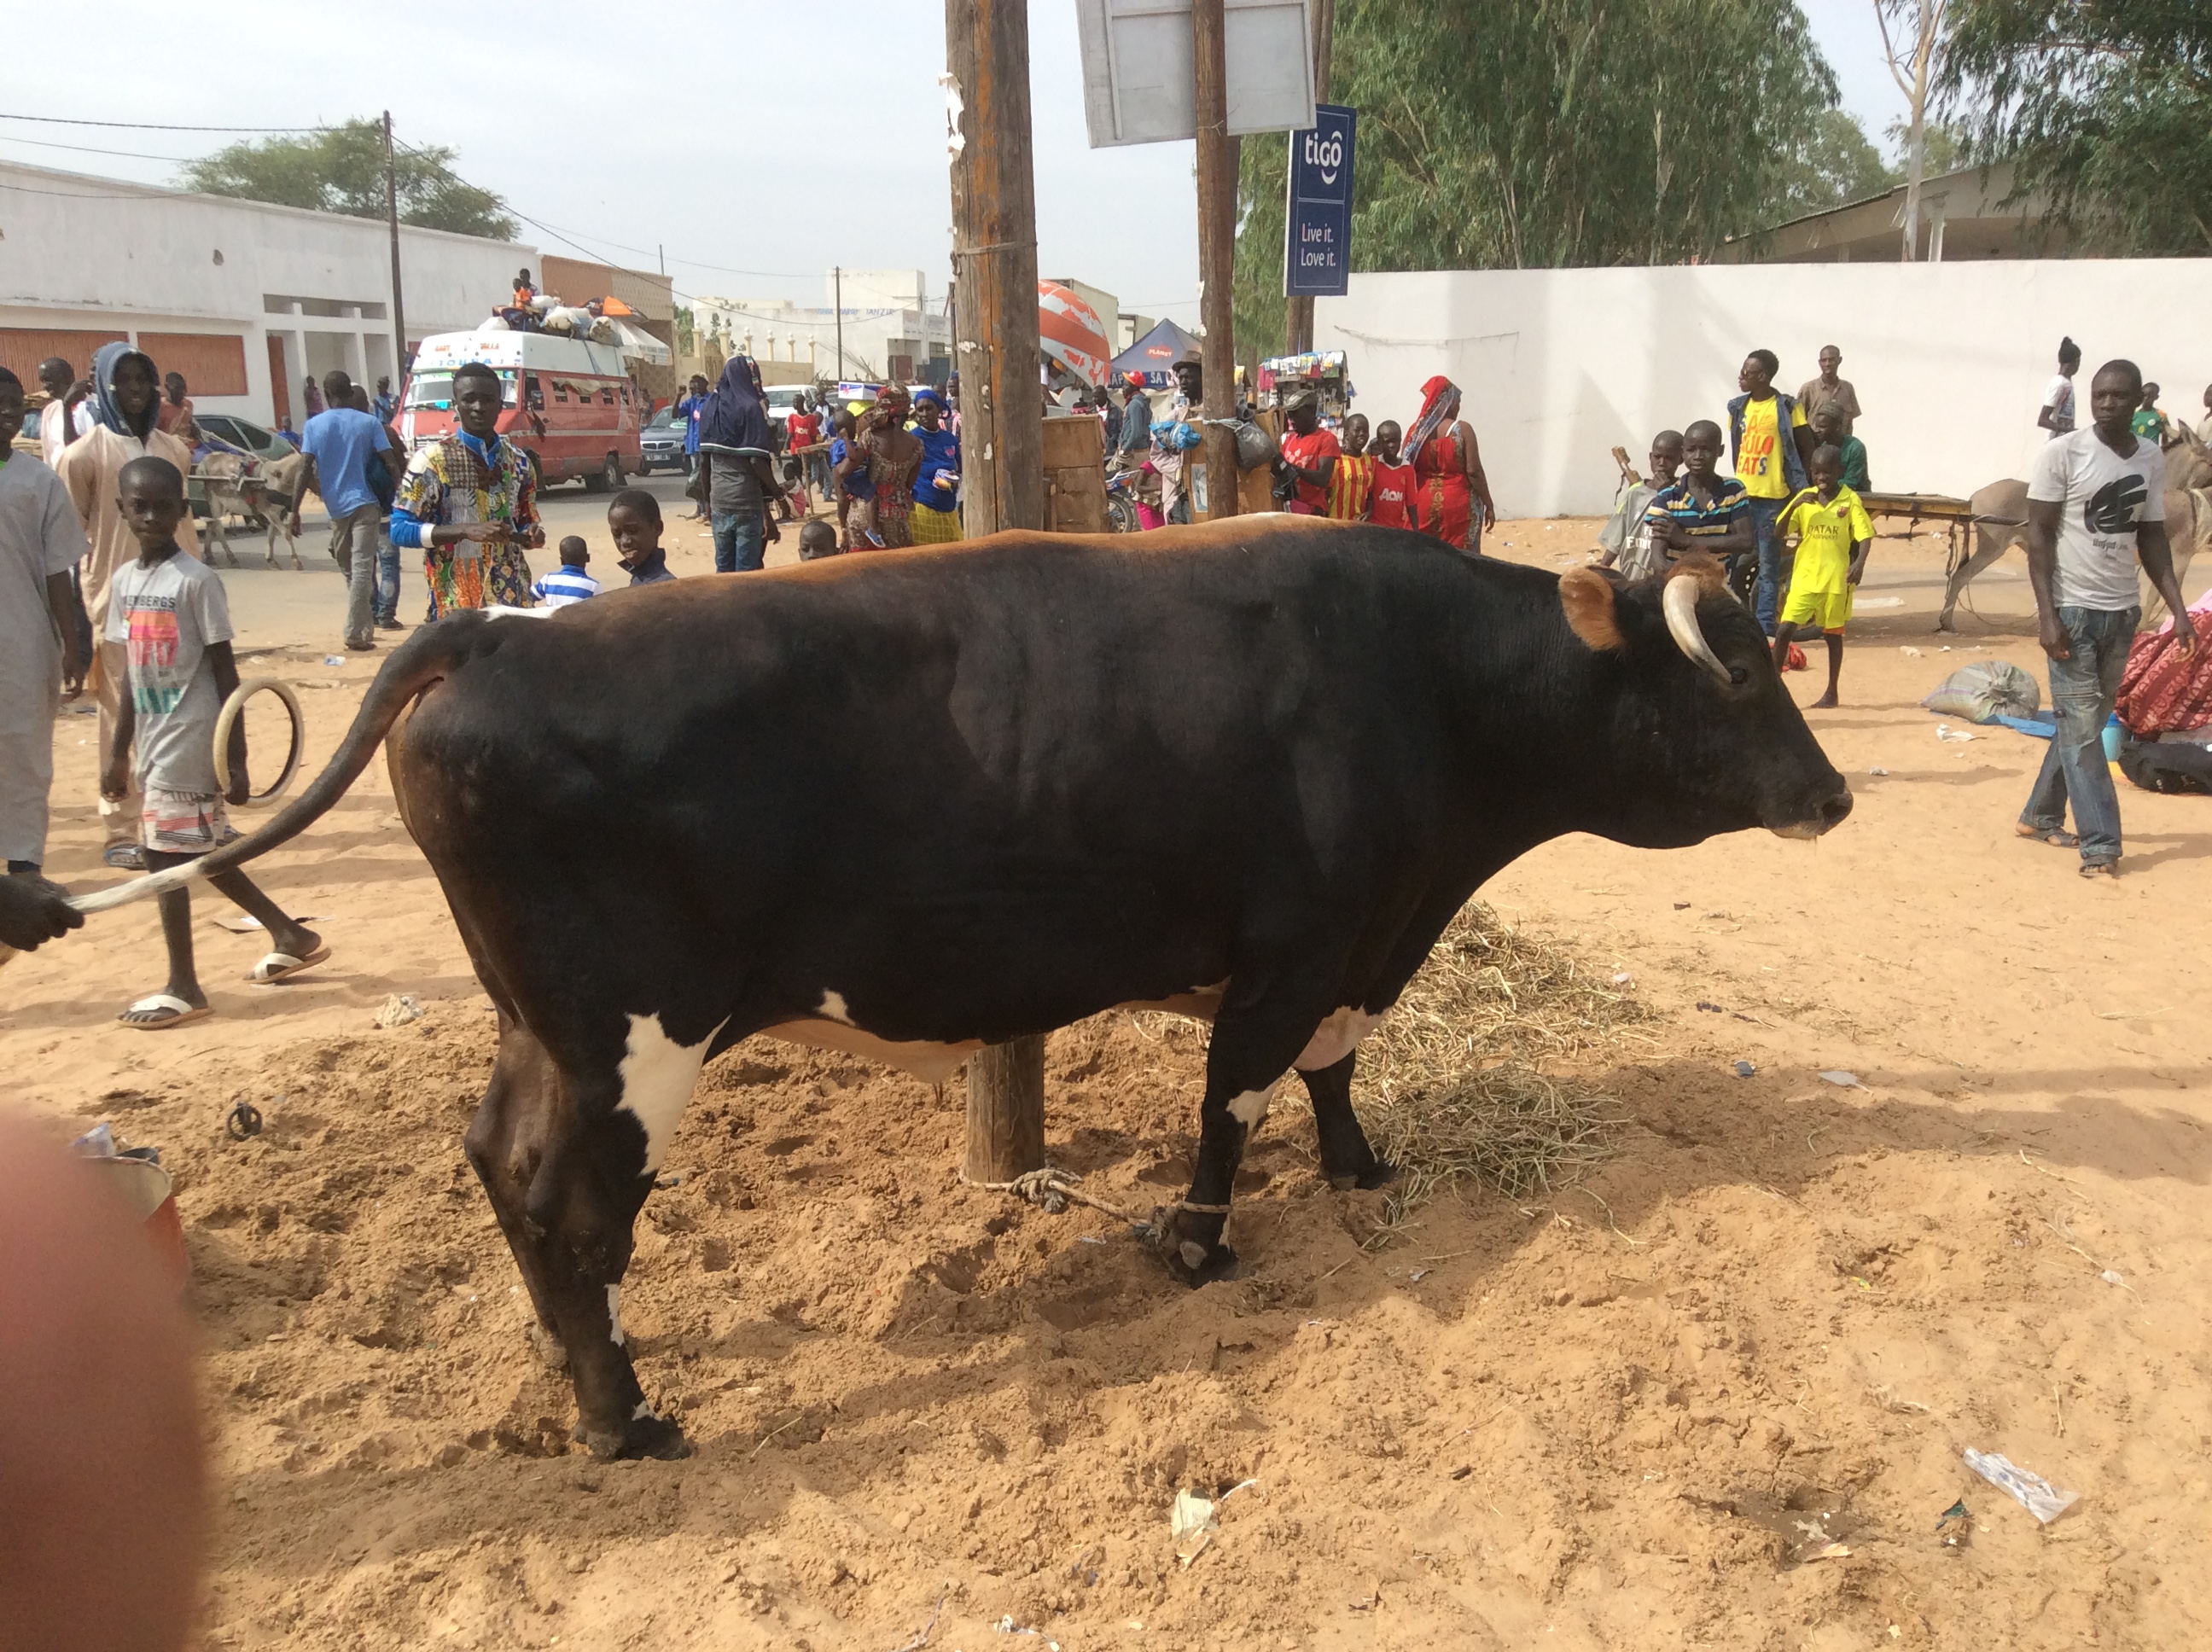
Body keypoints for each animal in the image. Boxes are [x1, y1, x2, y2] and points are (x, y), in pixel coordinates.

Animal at [116, 524, 1848, 1451]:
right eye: (1735, 678)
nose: (1831, 794)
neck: (1421, 681)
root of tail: (486, 630)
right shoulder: (1294, 941)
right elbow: (1235, 1094)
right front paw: (1200, 1247)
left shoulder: (1358, 943)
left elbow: (1336, 1068)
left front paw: (1362, 1170)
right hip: (636, 1040)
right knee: (568, 1202)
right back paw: (626, 1414)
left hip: (535, 1023)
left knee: (495, 1164)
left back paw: (569, 1368)